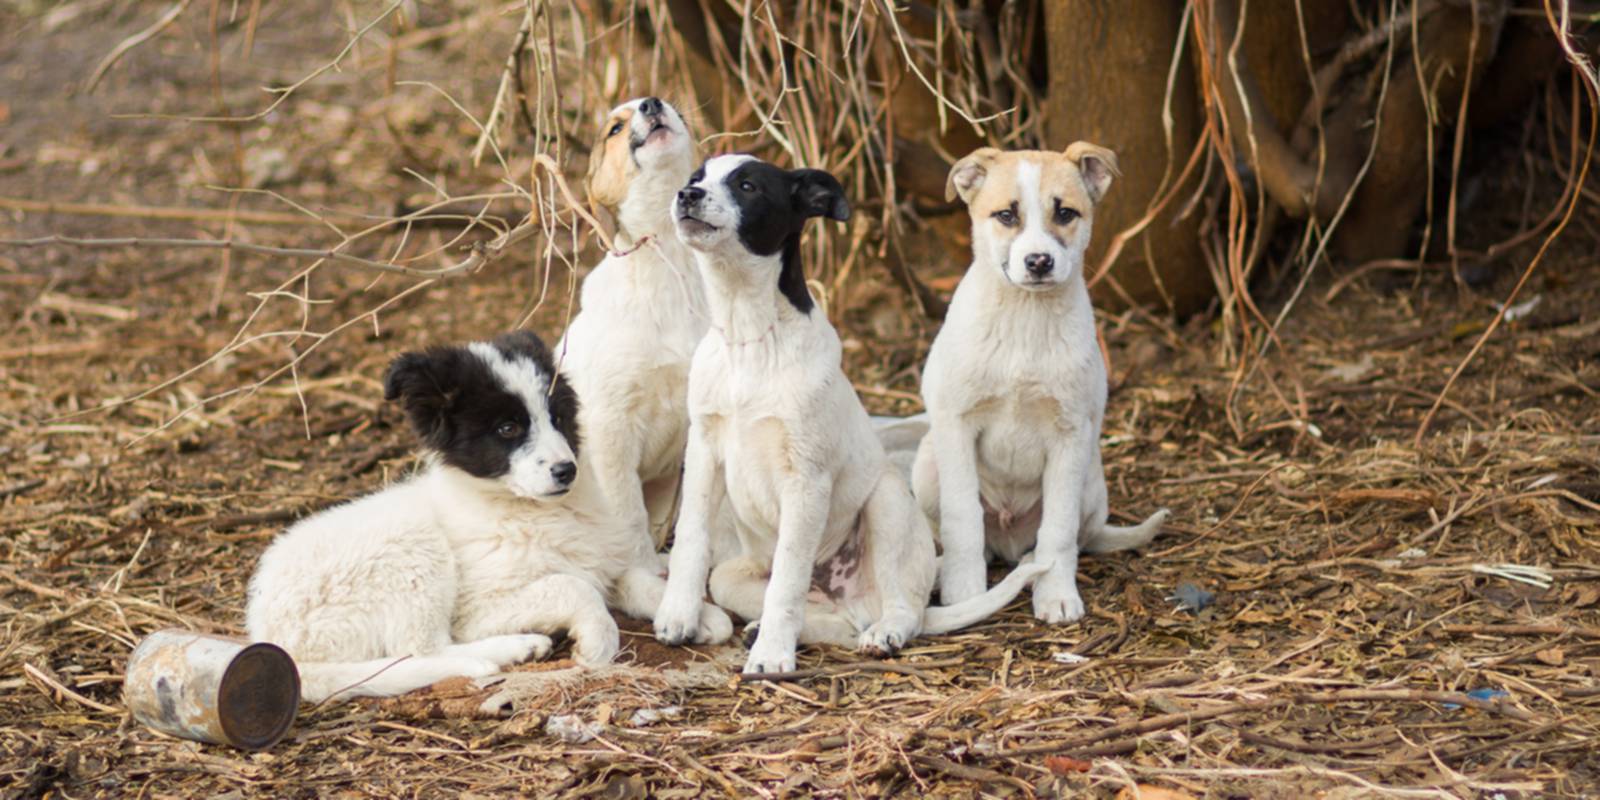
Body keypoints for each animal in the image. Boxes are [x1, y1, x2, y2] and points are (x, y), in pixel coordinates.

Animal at [246, 328, 732, 704]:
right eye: (507, 429)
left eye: (558, 418)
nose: (567, 470)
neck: (530, 511)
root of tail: (277, 640)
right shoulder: (477, 607)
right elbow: (570, 585)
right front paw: (598, 642)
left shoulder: (602, 563)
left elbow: (637, 581)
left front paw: (693, 616)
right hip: (412, 553)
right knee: (423, 649)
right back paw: (504, 652)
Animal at [563, 96, 713, 550]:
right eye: (615, 128)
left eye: (675, 108)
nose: (652, 102)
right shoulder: (611, 431)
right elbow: (630, 521)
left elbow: (661, 520)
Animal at [652, 152, 1049, 672]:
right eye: (696, 177)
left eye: (747, 185)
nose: (686, 195)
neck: (750, 337)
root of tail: (856, 599)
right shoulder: (703, 452)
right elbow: (691, 540)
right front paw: (679, 615)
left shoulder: (806, 481)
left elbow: (787, 579)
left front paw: (771, 657)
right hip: (735, 577)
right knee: (836, 621)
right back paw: (775, 629)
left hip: (886, 501)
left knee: (900, 610)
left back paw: (882, 633)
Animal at [921, 144, 1171, 624]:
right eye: (1005, 215)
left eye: (1066, 213)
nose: (1039, 261)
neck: (1026, 316)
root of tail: (1007, 538)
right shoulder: (955, 421)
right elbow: (962, 517)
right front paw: (964, 596)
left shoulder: (1069, 435)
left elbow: (1058, 529)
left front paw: (1056, 594)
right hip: (927, 461)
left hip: (1091, 476)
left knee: (1063, 538)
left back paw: (1030, 563)